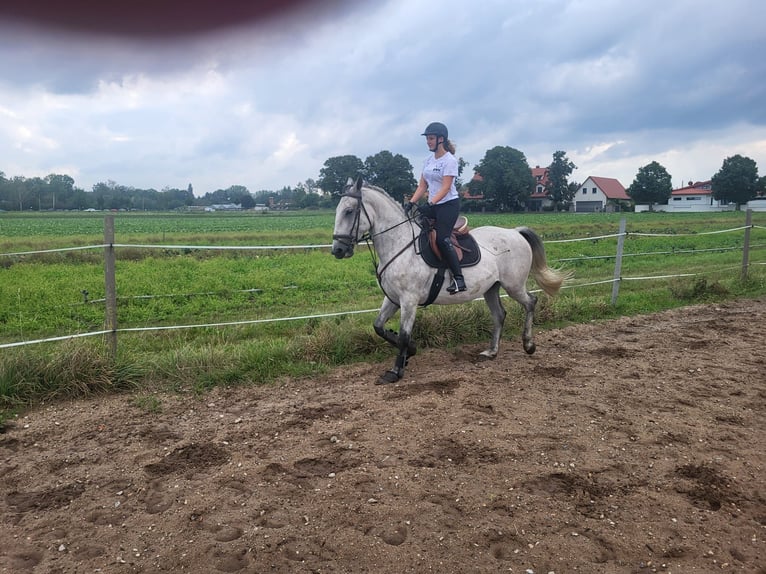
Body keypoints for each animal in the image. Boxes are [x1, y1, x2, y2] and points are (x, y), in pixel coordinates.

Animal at [332, 179, 568, 388]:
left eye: (349, 211)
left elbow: (404, 335)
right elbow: (379, 327)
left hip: (514, 286)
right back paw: (491, 351)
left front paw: (395, 371)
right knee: (499, 315)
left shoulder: (409, 300)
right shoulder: (392, 299)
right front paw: (412, 351)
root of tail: (514, 232)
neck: (400, 245)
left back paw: (528, 345)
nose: (338, 250)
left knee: (530, 302)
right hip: (491, 288)